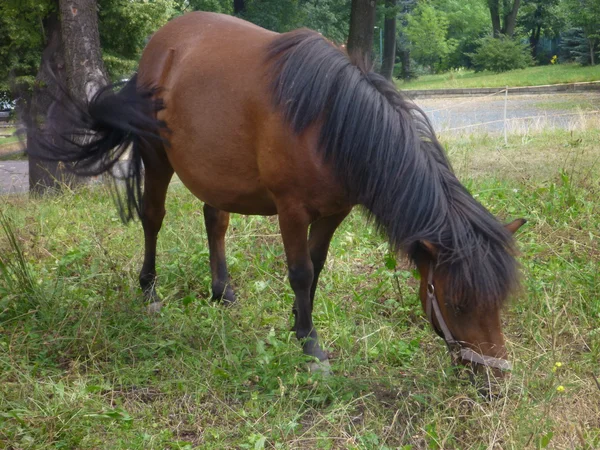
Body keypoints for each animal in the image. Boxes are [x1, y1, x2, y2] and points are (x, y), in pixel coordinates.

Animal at [28, 11, 524, 376]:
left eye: (499, 302)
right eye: (456, 302)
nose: (494, 377)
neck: (329, 120)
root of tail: (159, 47)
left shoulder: (334, 212)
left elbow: (316, 267)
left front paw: (297, 324)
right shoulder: (292, 210)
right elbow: (300, 272)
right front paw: (311, 348)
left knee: (215, 219)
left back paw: (222, 292)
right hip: (156, 159)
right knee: (153, 217)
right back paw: (149, 292)